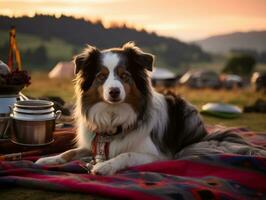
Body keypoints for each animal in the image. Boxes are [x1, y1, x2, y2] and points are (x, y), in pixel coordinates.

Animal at [35, 41, 207, 175]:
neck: (113, 114)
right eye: (101, 76)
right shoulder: (93, 145)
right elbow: (71, 151)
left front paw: (105, 166)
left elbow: (126, 155)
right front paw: (50, 159)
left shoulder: (158, 155)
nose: (114, 91)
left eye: (124, 75)